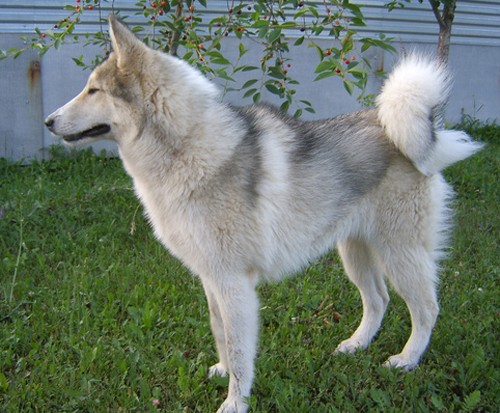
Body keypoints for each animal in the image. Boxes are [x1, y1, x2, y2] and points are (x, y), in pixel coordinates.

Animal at [45, 16, 482, 413]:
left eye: (94, 90)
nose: (48, 121)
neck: (186, 147)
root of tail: (412, 130)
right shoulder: (212, 279)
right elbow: (220, 332)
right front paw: (222, 372)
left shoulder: (234, 284)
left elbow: (241, 351)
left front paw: (235, 402)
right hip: (355, 252)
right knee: (377, 300)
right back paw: (355, 346)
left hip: (399, 253)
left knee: (425, 309)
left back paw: (406, 360)